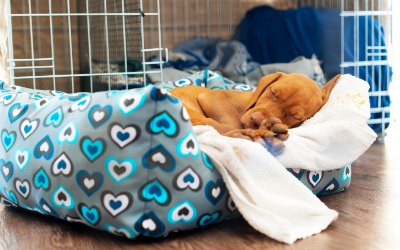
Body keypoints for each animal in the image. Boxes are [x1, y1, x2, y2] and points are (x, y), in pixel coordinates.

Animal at [169, 72, 340, 154]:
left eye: (294, 116)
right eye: (272, 92)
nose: (256, 120)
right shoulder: (212, 96)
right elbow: (231, 122)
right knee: (220, 130)